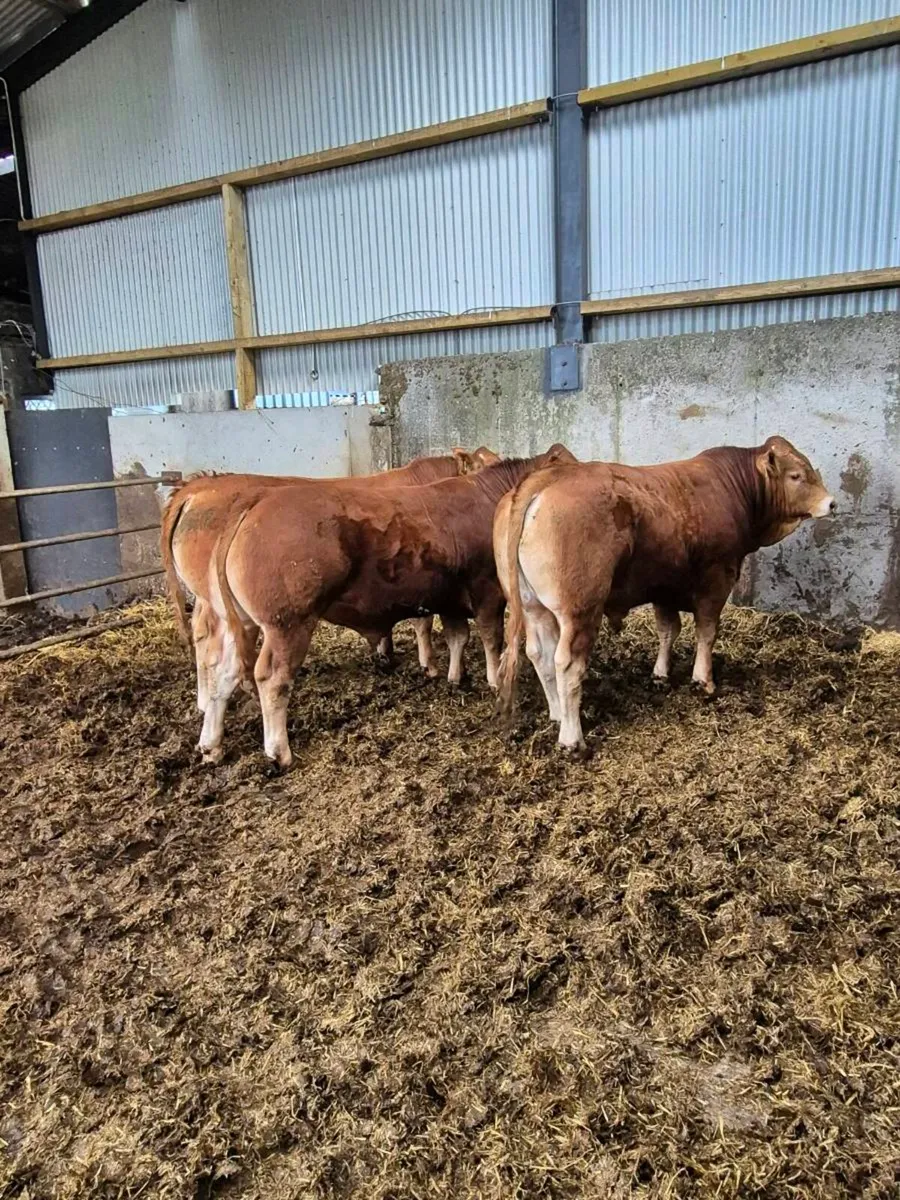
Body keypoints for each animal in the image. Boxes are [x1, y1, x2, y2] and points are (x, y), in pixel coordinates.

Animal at [203, 444, 576, 767]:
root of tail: (255, 504)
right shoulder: (487, 589)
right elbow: (489, 637)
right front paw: (493, 680)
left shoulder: (448, 597)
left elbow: (457, 637)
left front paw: (454, 677)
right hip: (287, 624)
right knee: (271, 680)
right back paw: (279, 752)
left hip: (241, 623)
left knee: (222, 671)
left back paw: (211, 746)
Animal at [495, 436, 835, 754]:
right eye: (796, 475)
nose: (832, 503)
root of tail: (545, 478)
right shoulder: (717, 578)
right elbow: (706, 631)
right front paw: (703, 680)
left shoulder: (663, 587)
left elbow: (668, 630)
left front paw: (660, 675)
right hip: (579, 610)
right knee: (566, 663)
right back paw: (572, 738)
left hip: (534, 607)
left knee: (540, 654)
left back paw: (556, 715)